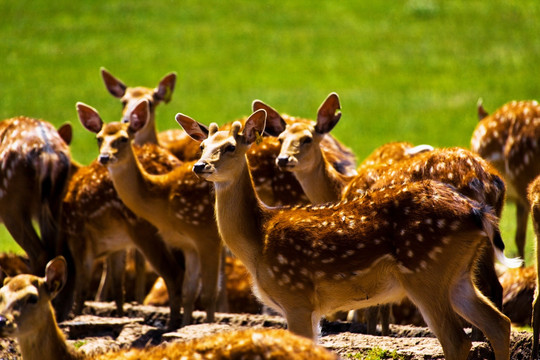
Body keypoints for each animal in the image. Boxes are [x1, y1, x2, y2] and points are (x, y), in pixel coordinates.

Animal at [76, 98, 221, 326]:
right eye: (98, 138)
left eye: (123, 139)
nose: (105, 157)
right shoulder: (189, 245)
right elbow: (189, 292)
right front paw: (183, 326)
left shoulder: (207, 237)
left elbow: (208, 295)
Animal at [179, 109, 520, 360]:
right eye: (202, 146)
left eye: (230, 147)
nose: (200, 165)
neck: (257, 242)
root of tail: (478, 212)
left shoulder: (296, 295)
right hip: (458, 274)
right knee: (499, 324)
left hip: (426, 271)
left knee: (456, 341)